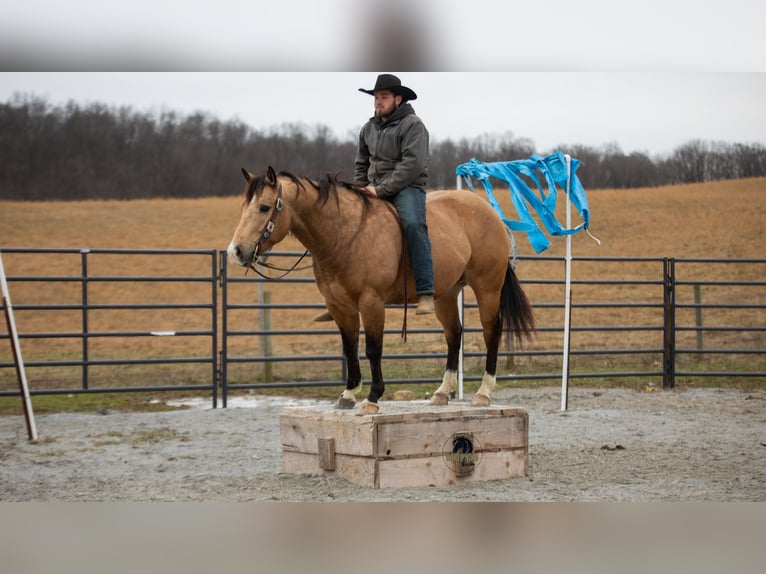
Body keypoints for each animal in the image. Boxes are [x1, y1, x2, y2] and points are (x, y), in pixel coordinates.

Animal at [227, 166, 535, 415]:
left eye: (265, 207)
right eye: (243, 207)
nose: (236, 252)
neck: (343, 234)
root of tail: (489, 212)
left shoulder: (371, 302)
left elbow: (373, 349)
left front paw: (373, 398)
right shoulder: (340, 307)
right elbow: (350, 347)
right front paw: (348, 394)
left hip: (487, 288)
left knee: (491, 330)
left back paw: (483, 392)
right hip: (446, 295)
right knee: (454, 334)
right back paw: (441, 392)